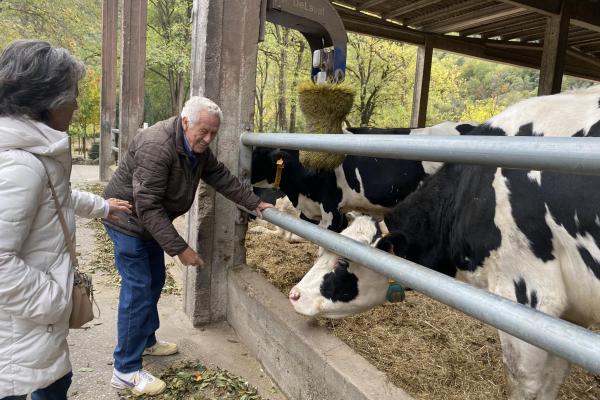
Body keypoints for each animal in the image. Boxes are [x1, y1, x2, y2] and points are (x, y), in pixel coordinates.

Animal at [286, 85, 600, 400]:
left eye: (343, 262)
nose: (294, 295)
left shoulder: (529, 296)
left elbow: (527, 384)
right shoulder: (566, 320)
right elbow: (552, 381)